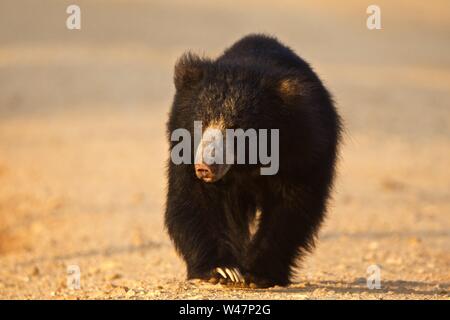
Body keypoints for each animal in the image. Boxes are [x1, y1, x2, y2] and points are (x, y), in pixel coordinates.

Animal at [165, 33, 342, 288]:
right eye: (202, 121)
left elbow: (292, 206)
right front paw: (222, 270)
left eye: (237, 128)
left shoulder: (304, 148)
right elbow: (193, 199)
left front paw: (256, 274)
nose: (205, 168)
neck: (246, 163)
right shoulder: (184, 148)